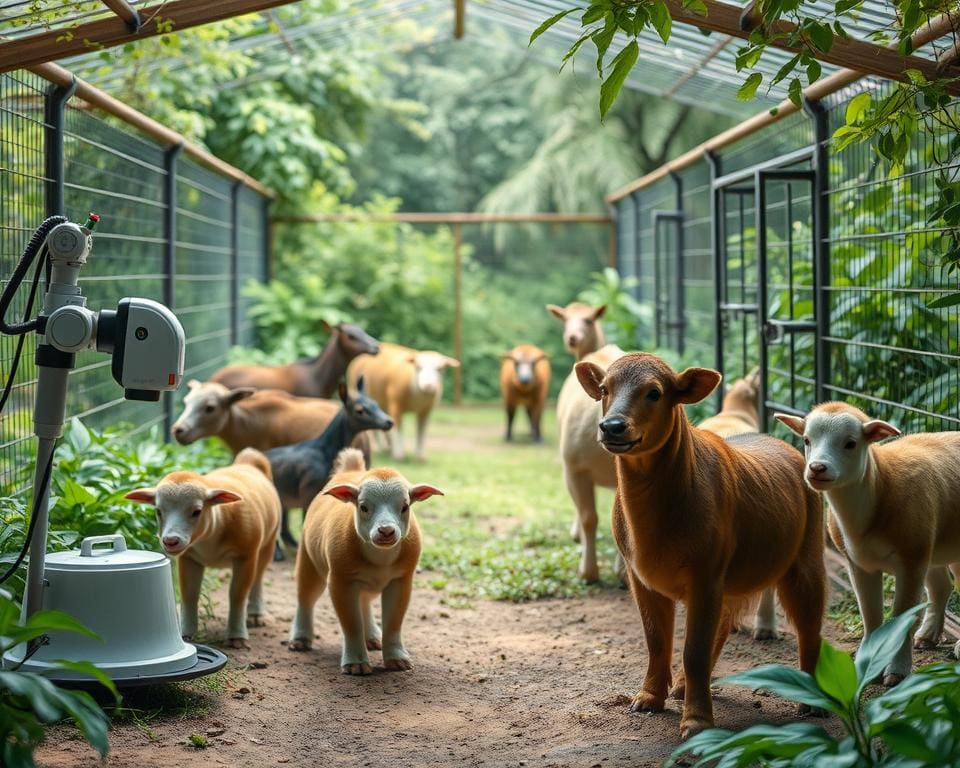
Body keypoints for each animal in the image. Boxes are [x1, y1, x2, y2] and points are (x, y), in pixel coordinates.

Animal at [125, 450, 280, 648]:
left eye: (196, 511)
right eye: (158, 511)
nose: (170, 541)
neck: (211, 536)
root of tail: (247, 462)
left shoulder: (246, 556)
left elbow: (237, 595)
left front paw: (237, 635)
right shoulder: (188, 558)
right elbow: (189, 594)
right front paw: (186, 634)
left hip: (268, 542)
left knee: (258, 578)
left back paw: (256, 613)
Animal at [264, 376, 392, 556]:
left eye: (376, 403)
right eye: (360, 410)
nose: (388, 422)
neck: (325, 453)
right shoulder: (307, 491)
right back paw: (278, 554)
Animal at [286, 448, 440, 676]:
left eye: (404, 507)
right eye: (363, 507)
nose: (386, 531)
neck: (380, 558)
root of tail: (351, 469)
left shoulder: (401, 580)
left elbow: (393, 622)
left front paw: (397, 659)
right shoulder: (340, 581)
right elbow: (351, 624)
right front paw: (355, 663)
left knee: (364, 601)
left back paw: (372, 637)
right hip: (308, 560)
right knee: (305, 598)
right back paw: (300, 638)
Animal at [576, 352, 824, 736]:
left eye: (654, 392)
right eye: (604, 389)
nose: (612, 427)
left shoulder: (705, 574)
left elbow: (693, 649)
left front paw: (696, 721)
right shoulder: (641, 577)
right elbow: (657, 640)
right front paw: (648, 698)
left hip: (806, 559)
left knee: (810, 628)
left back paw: (811, 702)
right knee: (724, 624)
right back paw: (680, 686)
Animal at [776, 404, 960, 680]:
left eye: (851, 443)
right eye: (807, 440)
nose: (817, 468)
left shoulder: (911, 560)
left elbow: (901, 616)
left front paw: (897, 670)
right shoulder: (859, 562)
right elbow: (871, 616)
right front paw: (867, 664)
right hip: (933, 543)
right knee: (941, 587)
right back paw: (927, 636)